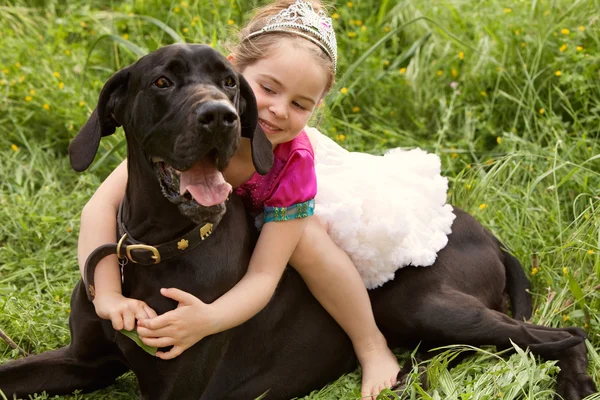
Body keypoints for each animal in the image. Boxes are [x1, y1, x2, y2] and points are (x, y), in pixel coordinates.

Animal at [0, 43, 596, 400]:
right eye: (163, 82)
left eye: (229, 83)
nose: (220, 116)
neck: (158, 246)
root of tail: (490, 235)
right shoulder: (83, 361)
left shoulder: (179, 386)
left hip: (421, 303)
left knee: (566, 334)